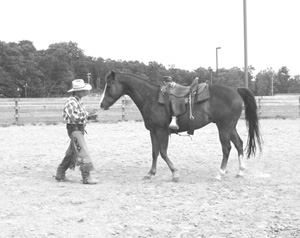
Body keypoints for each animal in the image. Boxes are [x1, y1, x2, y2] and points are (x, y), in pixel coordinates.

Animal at [99, 70, 262, 182]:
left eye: (109, 86)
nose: (102, 104)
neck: (151, 98)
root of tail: (236, 90)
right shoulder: (153, 131)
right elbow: (154, 152)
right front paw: (150, 173)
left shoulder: (162, 130)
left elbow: (163, 152)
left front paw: (175, 173)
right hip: (230, 127)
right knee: (239, 144)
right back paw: (240, 171)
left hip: (223, 128)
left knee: (226, 148)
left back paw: (220, 174)